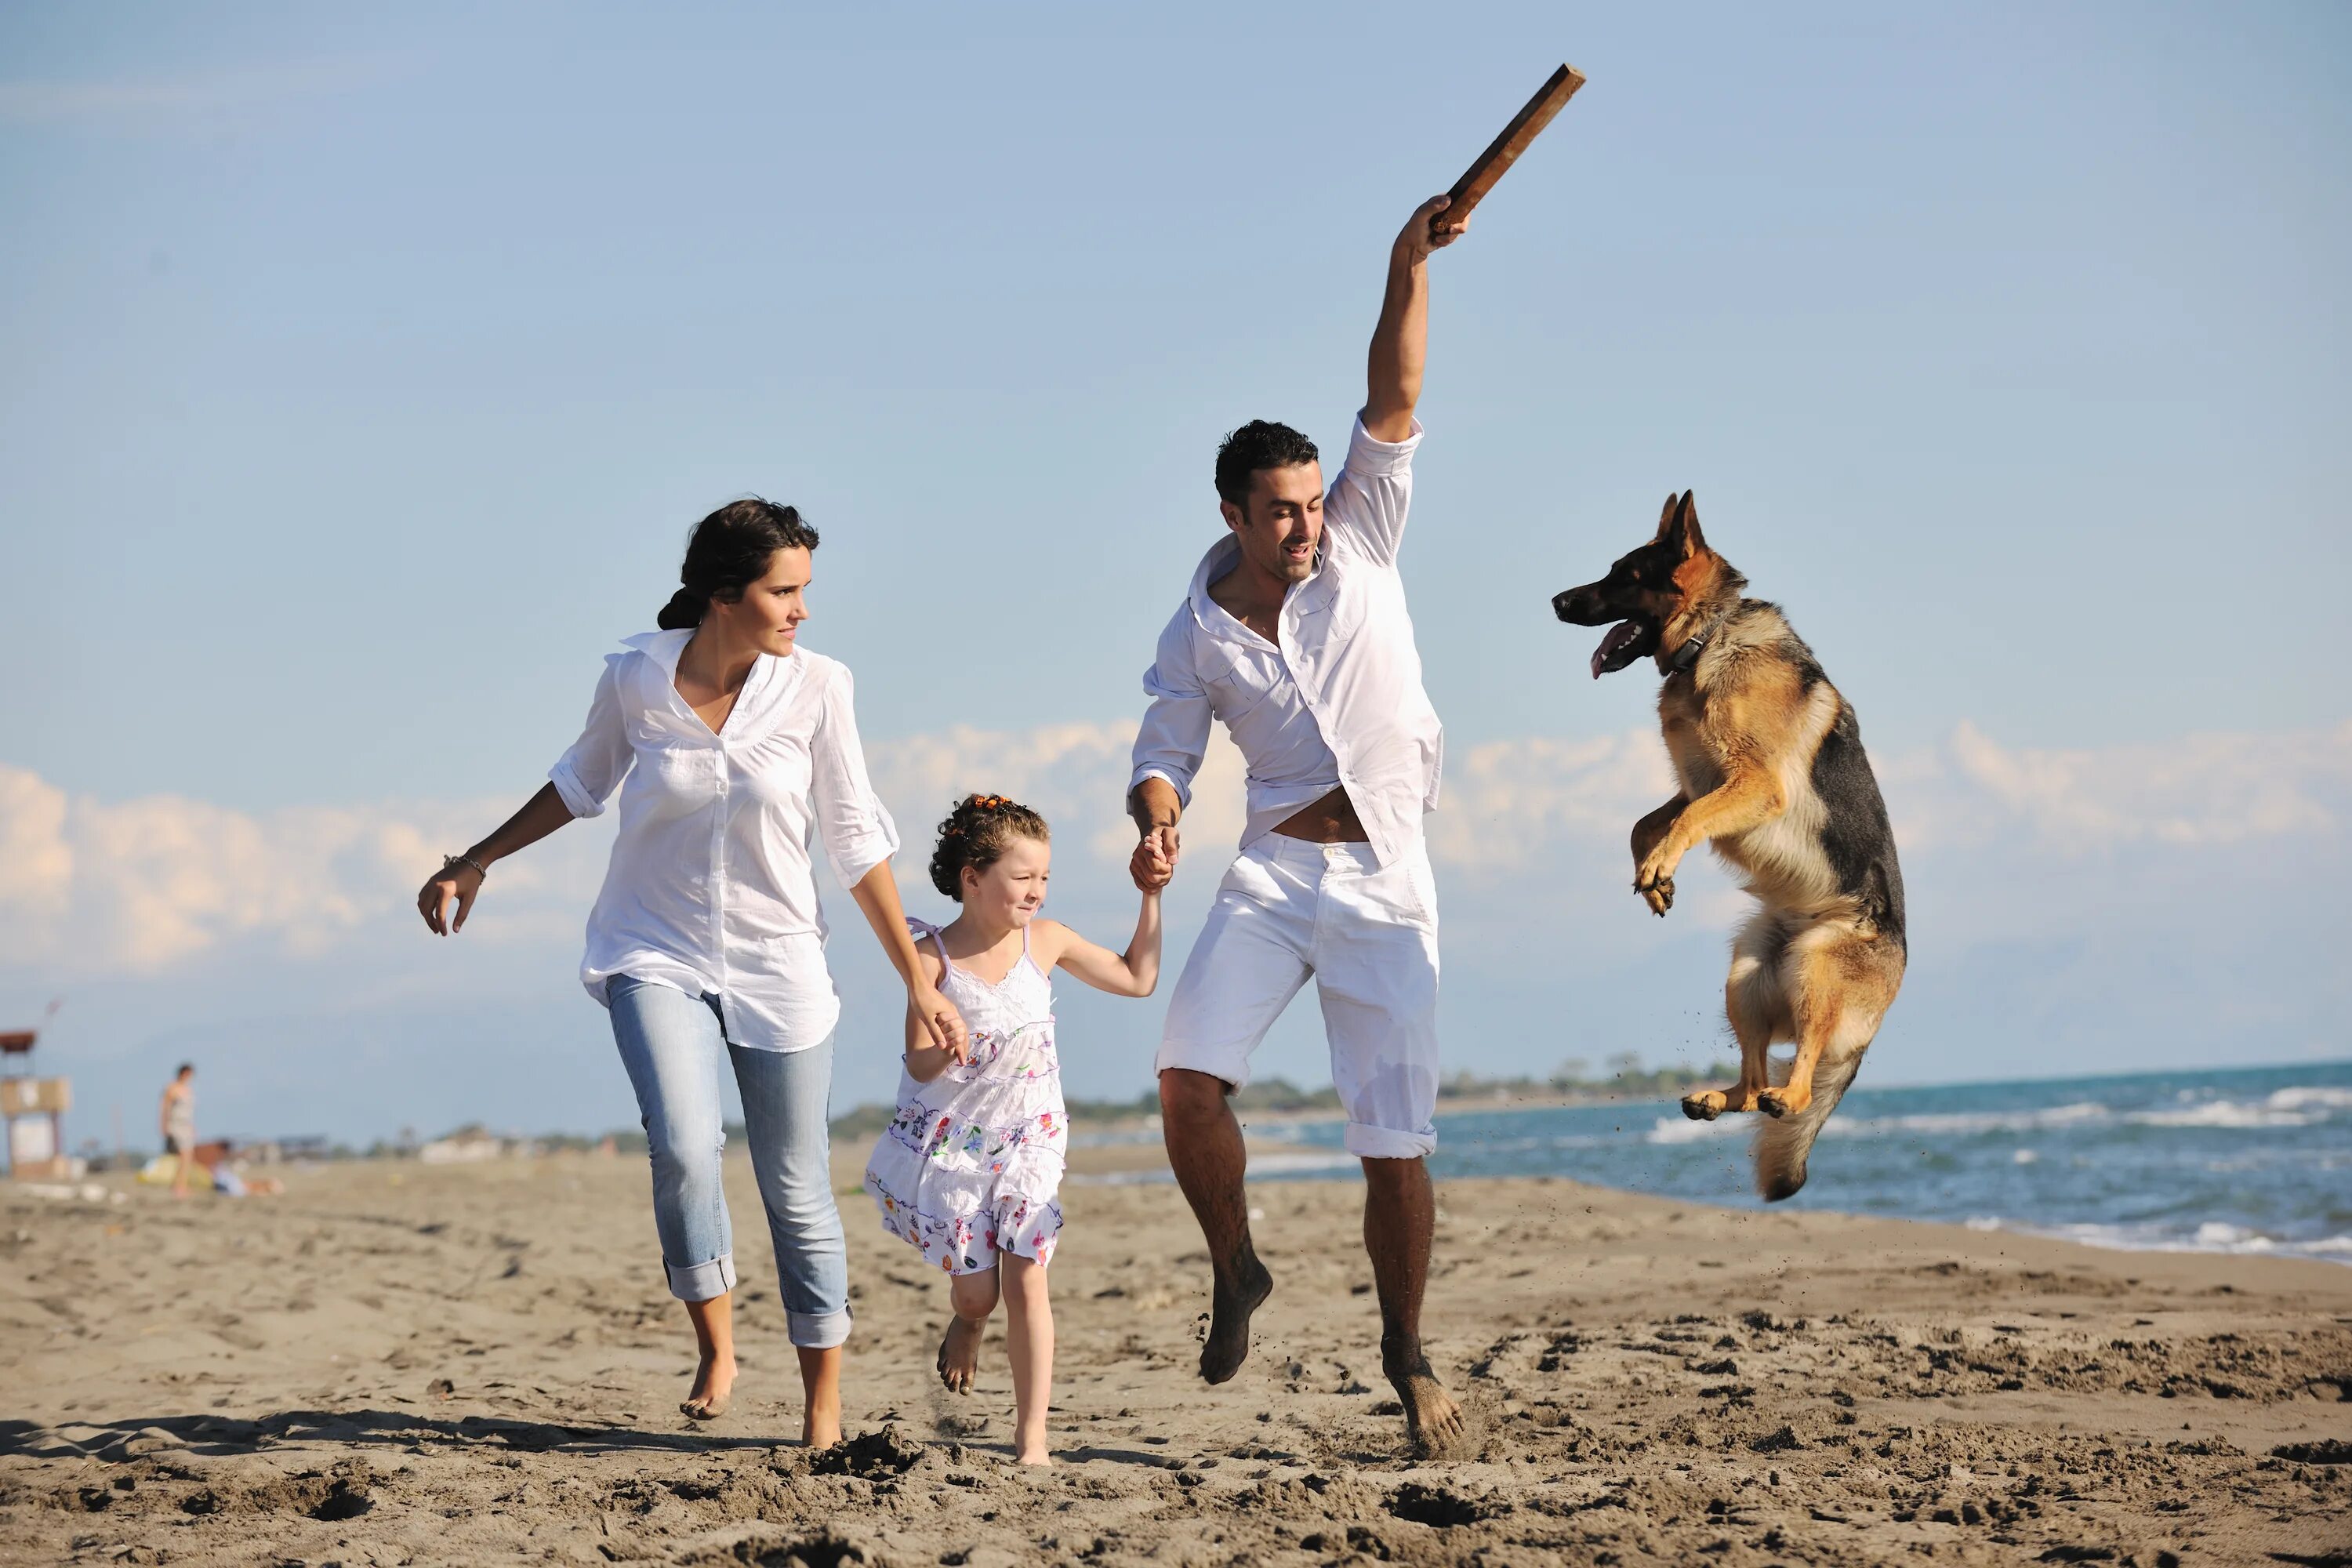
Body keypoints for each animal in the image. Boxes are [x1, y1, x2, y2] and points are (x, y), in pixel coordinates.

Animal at [1552, 493, 1900, 1203]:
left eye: (1623, 575)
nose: (1555, 601)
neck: (1707, 639)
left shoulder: (1750, 784)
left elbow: (1681, 824)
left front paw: (1660, 867)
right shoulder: (1703, 783)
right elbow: (1644, 824)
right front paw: (1654, 878)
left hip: (1814, 969)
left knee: (1798, 1077)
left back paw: (1786, 1098)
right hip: (1745, 975)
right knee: (1754, 1079)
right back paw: (1719, 1098)